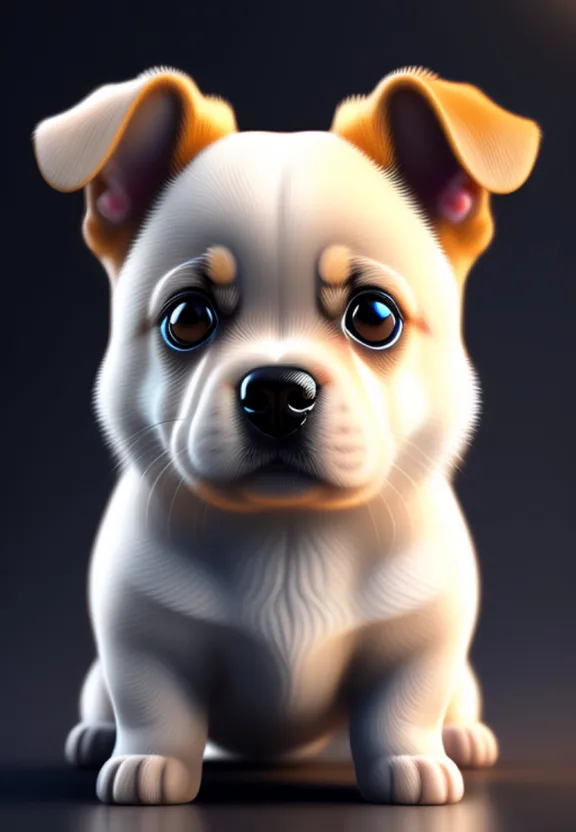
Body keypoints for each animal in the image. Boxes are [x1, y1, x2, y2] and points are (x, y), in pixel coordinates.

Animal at [35, 66, 540, 808]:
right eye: (186, 319)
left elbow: (404, 703)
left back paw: (464, 736)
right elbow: (154, 703)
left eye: (375, 316)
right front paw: (148, 765)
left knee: (454, 699)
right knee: (107, 699)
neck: (289, 534)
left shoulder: (424, 636)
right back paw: (99, 736)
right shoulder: (138, 636)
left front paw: (412, 765)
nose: (277, 390)